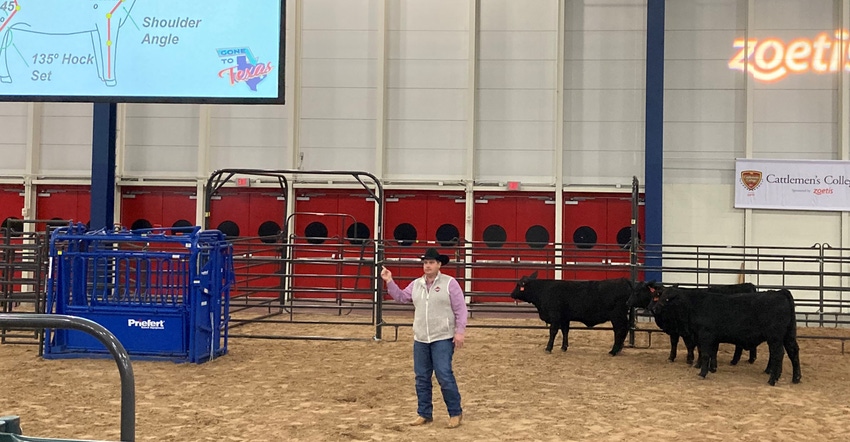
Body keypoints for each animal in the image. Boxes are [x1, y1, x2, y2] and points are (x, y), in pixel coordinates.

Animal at [628, 282, 760, 368]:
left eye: (637, 292)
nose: (627, 302)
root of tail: (749, 285)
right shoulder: (675, 329)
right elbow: (674, 343)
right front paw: (672, 357)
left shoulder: (685, 330)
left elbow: (689, 344)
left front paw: (690, 359)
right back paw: (750, 359)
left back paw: (735, 361)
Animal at [644, 288, 800, 386]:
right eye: (659, 296)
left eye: (667, 299)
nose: (654, 309)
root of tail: (780, 292)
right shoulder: (710, 337)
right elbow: (710, 352)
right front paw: (710, 368)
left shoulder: (705, 335)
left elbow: (705, 353)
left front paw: (702, 372)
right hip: (788, 335)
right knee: (792, 352)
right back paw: (796, 378)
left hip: (775, 337)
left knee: (778, 354)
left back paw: (772, 379)